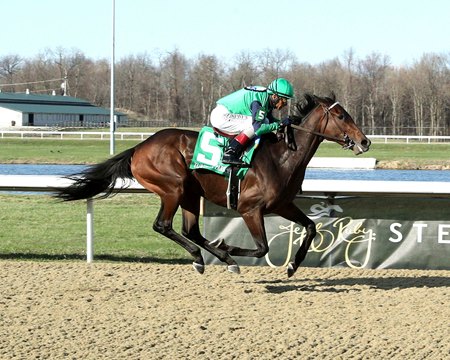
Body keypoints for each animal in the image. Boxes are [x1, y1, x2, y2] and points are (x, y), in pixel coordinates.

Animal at [53, 94, 370, 278]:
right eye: (341, 115)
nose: (365, 141)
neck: (282, 156)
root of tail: (140, 147)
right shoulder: (249, 209)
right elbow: (262, 248)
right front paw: (228, 245)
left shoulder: (282, 204)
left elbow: (312, 227)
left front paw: (292, 265)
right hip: (174, 187)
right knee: (163, 225)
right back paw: (209, 256)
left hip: (191, 194)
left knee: (189, 230)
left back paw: (213, 257)